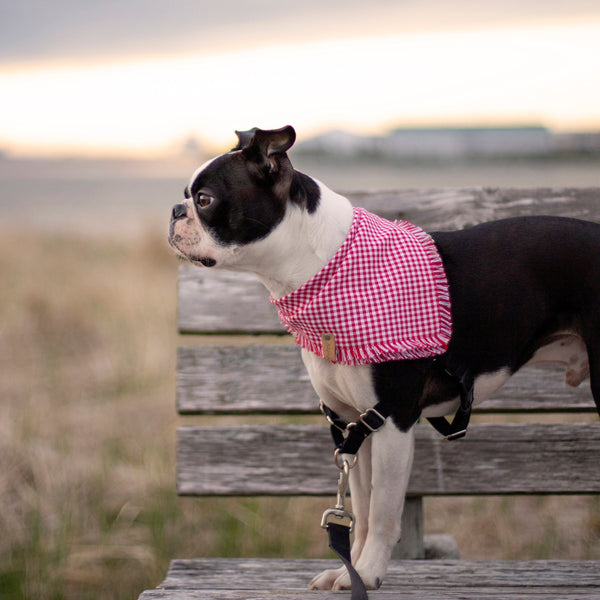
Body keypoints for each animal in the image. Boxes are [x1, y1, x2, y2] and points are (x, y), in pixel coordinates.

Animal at [166, 126, 600, 592]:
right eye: (186, 197)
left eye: (205, 199)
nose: (174, 209)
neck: (326, 271)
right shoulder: (352, 424)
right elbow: (360, 505)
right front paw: (349, 570)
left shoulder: (393, 420)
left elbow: (383, 511)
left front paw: (370, 572)